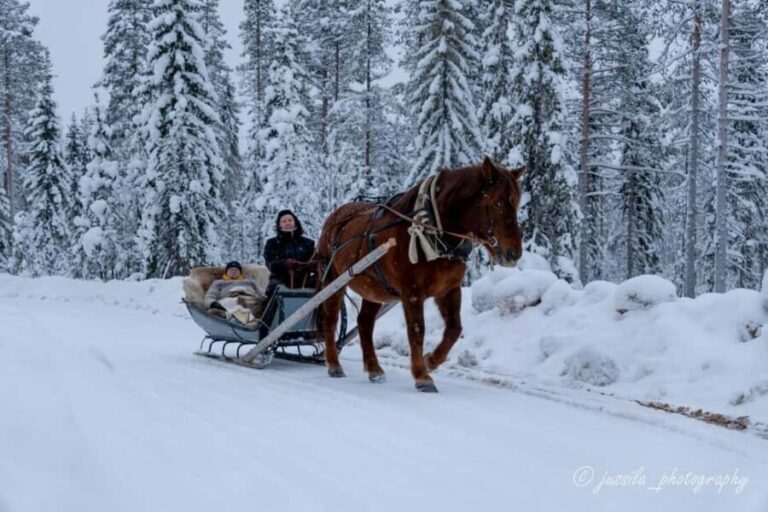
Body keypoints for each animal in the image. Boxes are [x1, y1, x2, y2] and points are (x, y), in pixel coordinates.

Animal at [316, 157, 525, 392]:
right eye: (497, 203)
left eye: (516, 203)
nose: (514, 253)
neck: (432, 230)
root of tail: (335, 217)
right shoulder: (412, 291)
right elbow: (416, 330)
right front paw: (422, 376)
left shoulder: (449, 289)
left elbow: (454, 328)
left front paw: (430, 361)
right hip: (332, 279)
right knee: (330, 319)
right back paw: (334, 364)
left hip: (375, 289)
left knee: (364, 322)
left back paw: (374, 369)